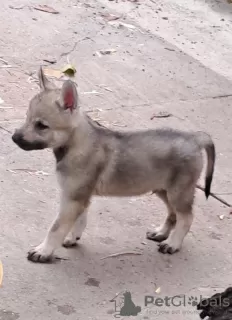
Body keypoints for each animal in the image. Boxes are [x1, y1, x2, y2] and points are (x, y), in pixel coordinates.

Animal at [11, 67, 216, 262]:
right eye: (27, 118)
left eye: (41, 125)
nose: (14, 137)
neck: (76, 143)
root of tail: (195, 138)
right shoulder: (79, 197)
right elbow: (80, 220)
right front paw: (72, 237)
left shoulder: (73, 198)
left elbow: (56, 228)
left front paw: (43, 251)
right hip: (163, 190)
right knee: (173, 215)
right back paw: (161, 233)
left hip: (178, 193)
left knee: (186, 217)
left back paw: (173, 243)